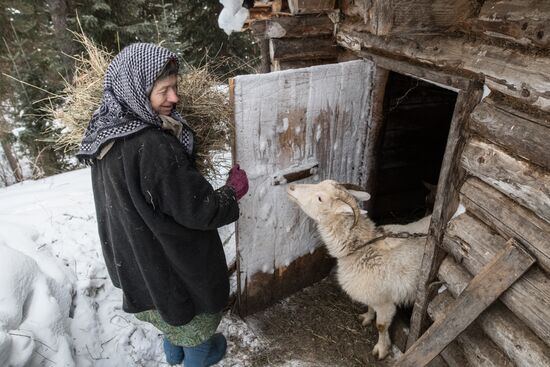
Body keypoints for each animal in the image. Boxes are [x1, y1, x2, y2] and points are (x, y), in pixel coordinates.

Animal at [286, 180, 430, 360]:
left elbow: (381, 326)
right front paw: (367, 317)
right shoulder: (372, 294)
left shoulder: (385, 302)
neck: (362, 248)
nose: (291, 187)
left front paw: (381, 349)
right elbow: (369, 306)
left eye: (320, 198)